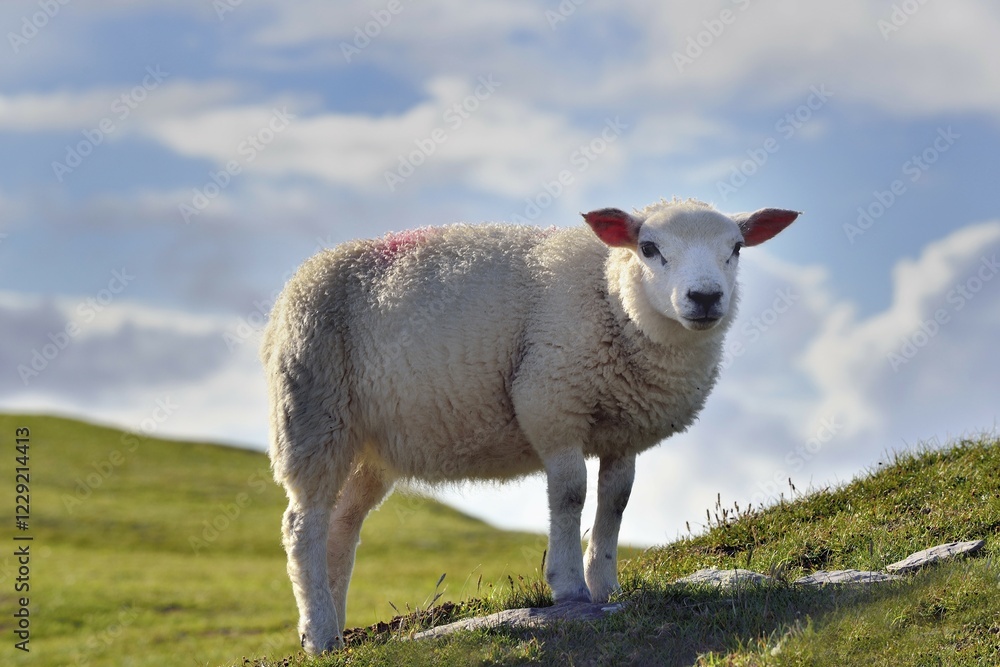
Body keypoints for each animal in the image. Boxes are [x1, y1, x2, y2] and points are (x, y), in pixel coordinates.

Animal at [261, 197, 799, 653]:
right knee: (302, 527)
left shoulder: (623, 430)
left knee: (341, 528)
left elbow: (616, 501)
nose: (705, 297)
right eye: (649, 248)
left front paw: (606, 586)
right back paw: (319, 634)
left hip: (367, 448)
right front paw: (569, 585)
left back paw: (335, 633)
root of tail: (294, 284)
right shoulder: (552, 404)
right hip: (312, 414)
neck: (611, 296)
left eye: (736, 248)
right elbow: (571, 494)